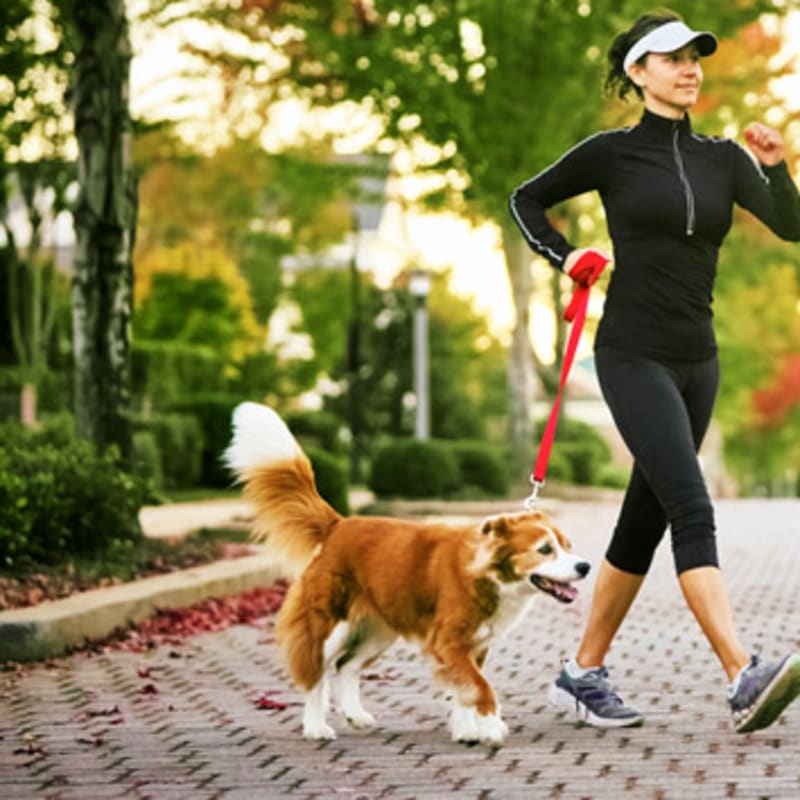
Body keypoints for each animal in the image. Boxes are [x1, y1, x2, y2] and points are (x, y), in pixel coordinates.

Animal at [223, 404, 588, 748]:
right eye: (545, 549)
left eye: (567, 546)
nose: (584, 567)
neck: (489, 575)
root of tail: (339, 524)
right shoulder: (448, 641)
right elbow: (479, 686)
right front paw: (490, 726)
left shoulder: (475, 645)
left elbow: (464, 690)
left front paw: (467, 730)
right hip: (329, 625)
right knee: (317, 673)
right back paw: (315, 727)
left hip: (378, 629)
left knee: (346, 667)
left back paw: (355, 715)